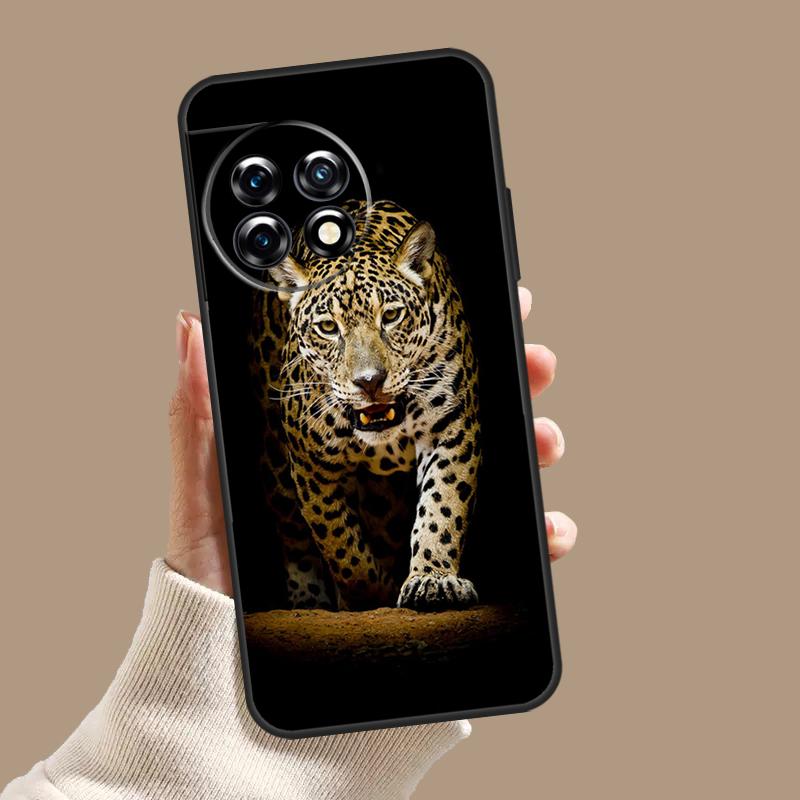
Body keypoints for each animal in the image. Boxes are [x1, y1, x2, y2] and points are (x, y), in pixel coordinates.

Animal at [249, 200, 481, 611]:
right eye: (328, 327)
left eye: (391, 316)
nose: (370, 381)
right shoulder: (311, 463)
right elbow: (339, 542)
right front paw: (367, 595)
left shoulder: (452, 429)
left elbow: (443, 506)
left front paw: (432, 580)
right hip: (274, 460)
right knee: (294, 534)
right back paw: (308, 598)